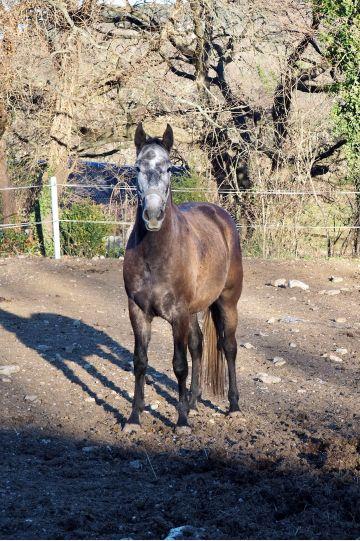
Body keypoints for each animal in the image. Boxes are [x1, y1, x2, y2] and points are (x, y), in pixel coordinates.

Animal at [122, 123, 243, 434]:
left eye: (168, 167)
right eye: (137, 167)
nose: (153, 215)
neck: (156, 255)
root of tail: (219, 214)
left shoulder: (177, 315)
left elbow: (179, 365)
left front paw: (181, 422)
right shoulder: (137, 311)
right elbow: (140, 362)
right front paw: (134, 418)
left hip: (227, 303)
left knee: (229, 347)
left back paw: (233, 407)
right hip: (195, 311)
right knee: (198, 346)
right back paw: (193, 401)